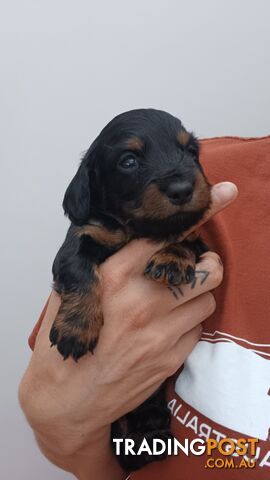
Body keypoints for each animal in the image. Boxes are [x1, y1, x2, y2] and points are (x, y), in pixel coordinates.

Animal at [50, 108, 211, 468]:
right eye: (128, 161)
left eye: (190, 151)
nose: (182, 188)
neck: (138, 228)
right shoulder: (81, 237)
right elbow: (79, 271)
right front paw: (77, 328)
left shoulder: (198, 241)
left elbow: (185, 242)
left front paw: (171, 258)